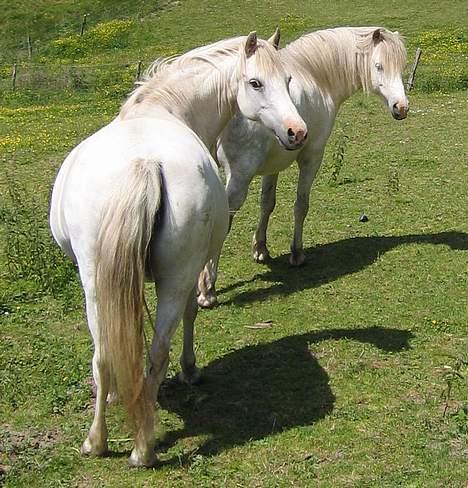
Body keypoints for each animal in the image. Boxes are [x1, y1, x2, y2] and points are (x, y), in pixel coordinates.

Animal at [49, 32, 308, 468]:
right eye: (255, 83)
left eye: (289, 80)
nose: (296, 131)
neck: (163, 109)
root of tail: (144, 163)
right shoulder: (192, 272)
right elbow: (192, 312)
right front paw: (189, 370)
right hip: (167, 279)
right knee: (151, 352)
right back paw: (140, 447)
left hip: (95, 280)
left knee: (107, 355)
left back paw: (102, 442)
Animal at [197, 26, 410, 306]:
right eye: (379, 66)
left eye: (402, 66)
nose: (401, 107)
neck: (316, 76)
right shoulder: (311, 158)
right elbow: (301, 206)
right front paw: (296, 254)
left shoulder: (273, 165)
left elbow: (267, 203)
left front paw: (260, 249)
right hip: (239, 179)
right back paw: (207, 288)